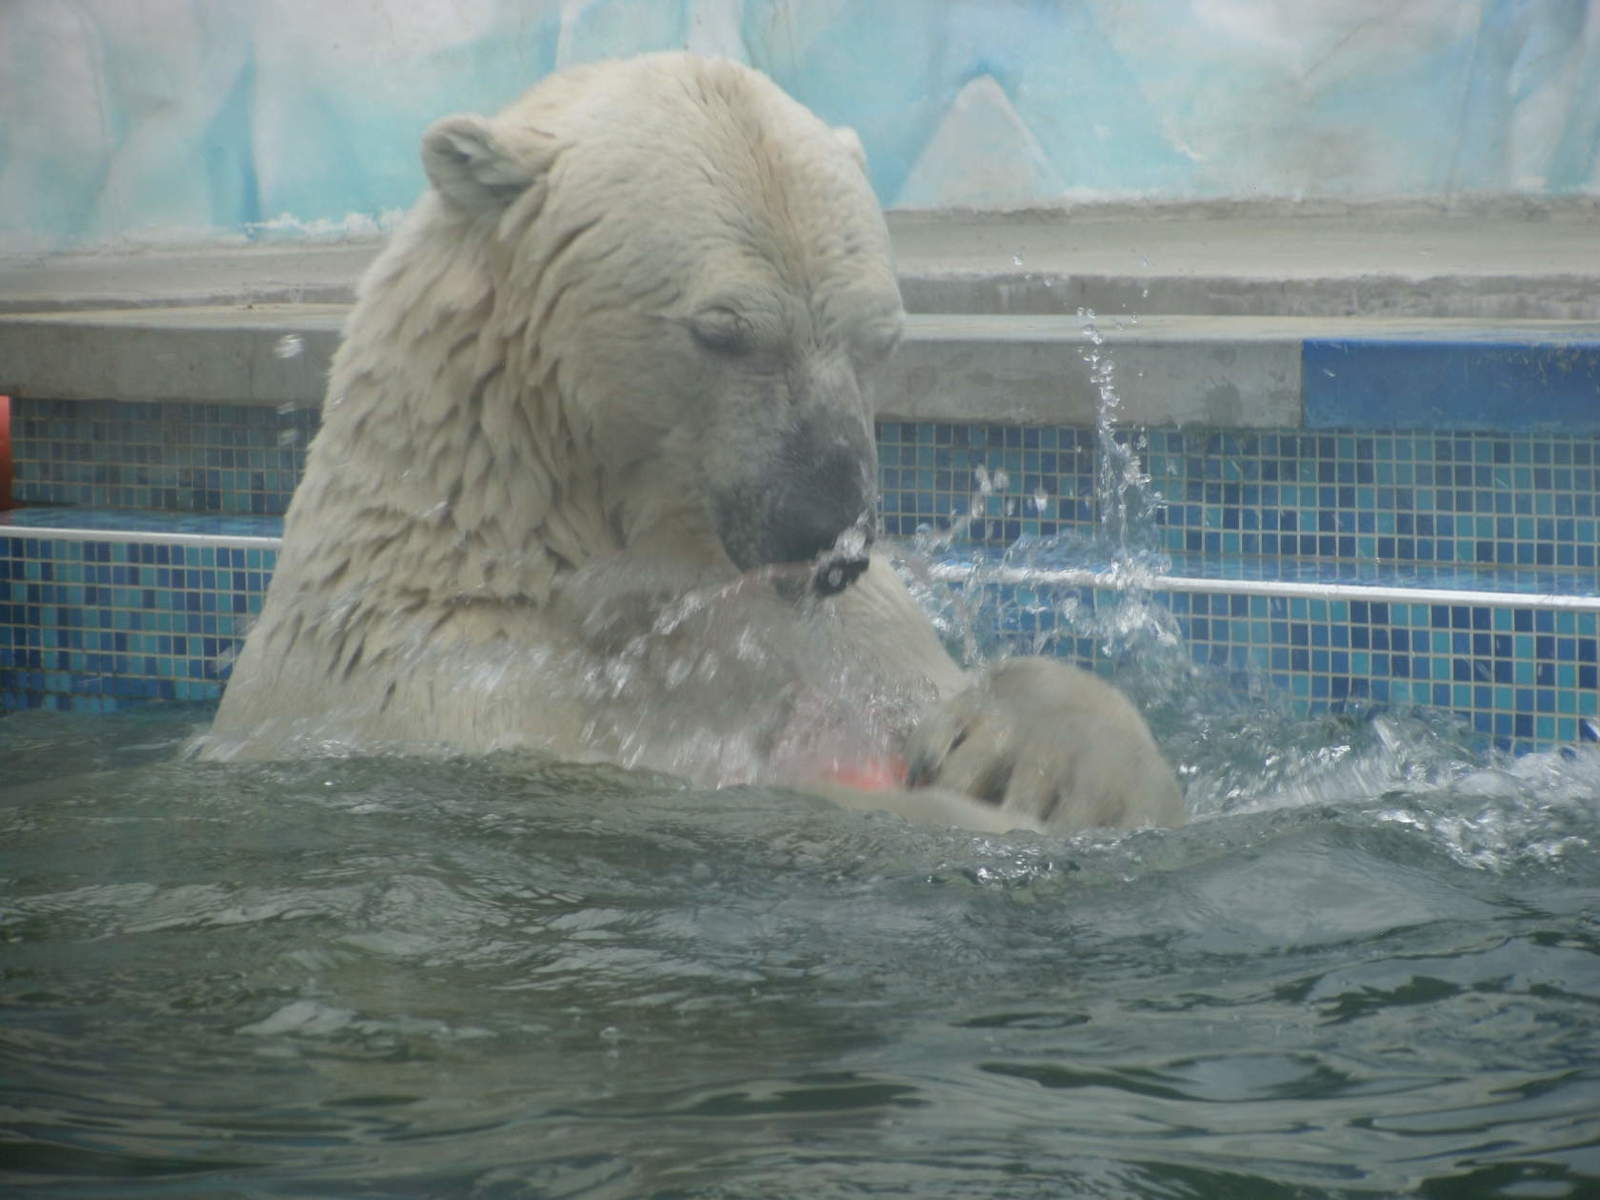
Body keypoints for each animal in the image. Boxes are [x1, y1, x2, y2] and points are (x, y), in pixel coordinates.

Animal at [206, 49, 1184, 838]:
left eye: (880, 336)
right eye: (722, 332)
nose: (828, 538)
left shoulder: (827, 638)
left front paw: (1032, 757)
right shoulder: (462, 693)